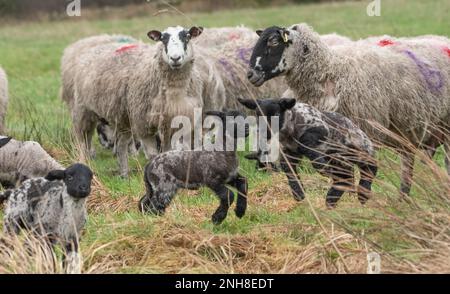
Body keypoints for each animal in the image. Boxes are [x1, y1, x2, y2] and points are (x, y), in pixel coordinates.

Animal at [241, 97, 378, 208]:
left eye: (276, 114)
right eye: (258, 115)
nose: (263, 132)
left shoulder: (320, 130)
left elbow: (309, 148)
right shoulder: (289, 155)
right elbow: (290, 173)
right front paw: (299, 194)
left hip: (359, 150)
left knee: (370, 167)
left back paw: (363, 193)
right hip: (341, 159)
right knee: (345, 177)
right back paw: (332, 199)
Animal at [246, 23, 450, 195]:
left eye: (273, 42)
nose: (250, 74)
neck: (329, 71)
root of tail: (442, 40)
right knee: (411, 163)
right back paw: (406, 197)